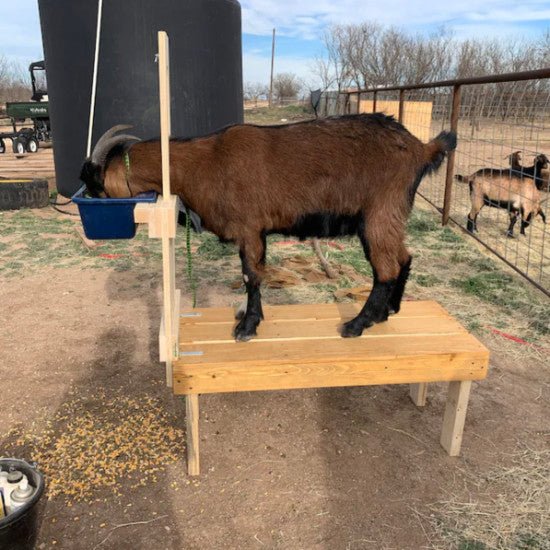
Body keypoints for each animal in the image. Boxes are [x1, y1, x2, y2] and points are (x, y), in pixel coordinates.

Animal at [78, 115, 458, 342]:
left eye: (97, 185)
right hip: (391, 216)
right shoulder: (256, 232)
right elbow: (255, 274)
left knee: (386, 268)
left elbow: (251, 276)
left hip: (379, 214)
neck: (205, 163)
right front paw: (251, 319)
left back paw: (357, 324)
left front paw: (246, 327)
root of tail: (422, 148)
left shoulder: (249, 228)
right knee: (404, 258)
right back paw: (387, 312)